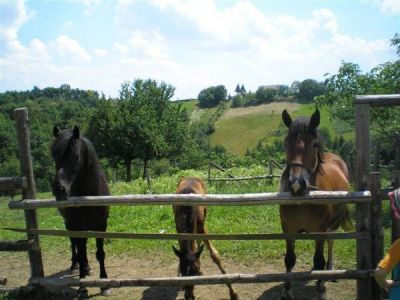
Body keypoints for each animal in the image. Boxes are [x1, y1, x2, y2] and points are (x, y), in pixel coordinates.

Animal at [52, 126, 111, 298]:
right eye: (54, 155)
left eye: (76, 156)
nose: (59, 190)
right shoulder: (76, 225)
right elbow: (81, 251)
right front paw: (82, 288)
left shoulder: (101, 225)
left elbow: (100, 253)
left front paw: (104, 283)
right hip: (70, 224)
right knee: (75, 246)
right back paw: (76, 266)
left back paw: (86, 268)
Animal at [278, 110, 354, 300]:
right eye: (286, 143)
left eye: (314, 144)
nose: (296, 184)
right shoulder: (287, 228)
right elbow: (289, 258)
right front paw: (287, 290)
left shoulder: (321, 228)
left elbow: (319, 259)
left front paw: (320, 288)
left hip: (332, 225)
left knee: (330, 243)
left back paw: (329, 272)